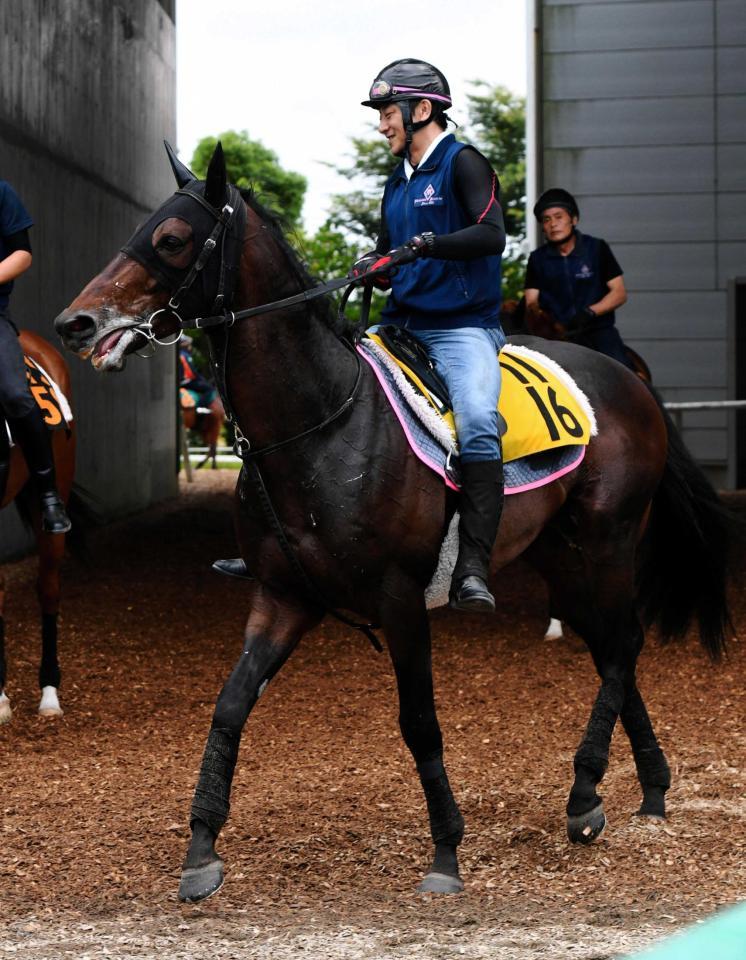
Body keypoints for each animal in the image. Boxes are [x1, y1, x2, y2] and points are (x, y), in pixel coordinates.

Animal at [54, 143, 731, 904]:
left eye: (171, 239)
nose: (75, 324)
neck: (320, 425)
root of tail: (632, 382)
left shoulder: (400, 599)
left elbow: (419, 723)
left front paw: (446, 852)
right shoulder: (282, 597)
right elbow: (230, 706)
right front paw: (201, 849)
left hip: (607, 539)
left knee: (623, 645)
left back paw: (586, 791)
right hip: (559, 555)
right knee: (612, 644)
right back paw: (644, 788)